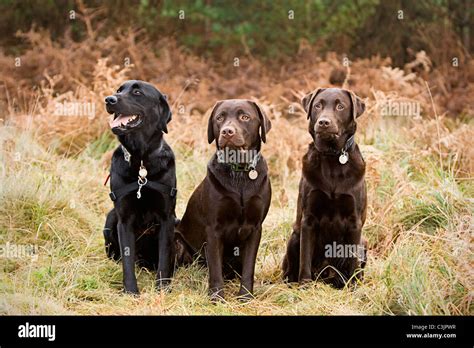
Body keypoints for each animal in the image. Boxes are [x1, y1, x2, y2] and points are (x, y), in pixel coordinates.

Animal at [103, 79, 178, 294]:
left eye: (137, 92)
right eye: (119, 90)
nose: (109, 99)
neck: (141, 159)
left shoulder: (167, 218)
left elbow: (164, 257)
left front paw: (162, 288)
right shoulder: (124, 219)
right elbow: (127, 260)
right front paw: (131, 291)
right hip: (110, 219)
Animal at [174, 98, 272, 302]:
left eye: (245, 117)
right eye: (220, 118)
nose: (227, 131)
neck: (239, 173)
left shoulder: (255, 227)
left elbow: (249, 268)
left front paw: (246, 296)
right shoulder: (213, 229)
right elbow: (215, 269)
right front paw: (217, 297)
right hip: (177, 241)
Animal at [284, 87, 368, 288]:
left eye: (340, 106)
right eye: (317, 105)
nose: (323, 122)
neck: (332, 158)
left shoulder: (354, 222)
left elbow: (352, 259)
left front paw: (352, 286)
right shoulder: (308, 220)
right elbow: (305, 258)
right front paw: (305, 285)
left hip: (364, 243)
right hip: (294, 236)